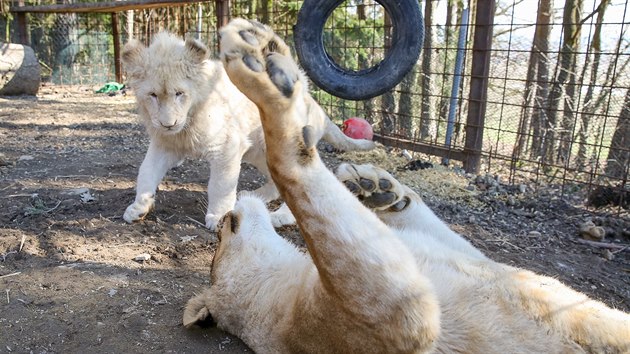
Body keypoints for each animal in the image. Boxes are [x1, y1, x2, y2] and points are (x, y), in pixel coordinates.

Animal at [119, 30, 376, 230]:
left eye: (179, 93)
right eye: (153, 95)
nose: (167, 124)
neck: (187, 124)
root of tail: (311, 100)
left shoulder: (227, 147)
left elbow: (220, 185)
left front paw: (218, 217)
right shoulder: (164, 145)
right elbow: (146, 172)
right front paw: (138, 207)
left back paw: (280, 216)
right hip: (260, 152)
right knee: (276, 184)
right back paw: (253, 196)